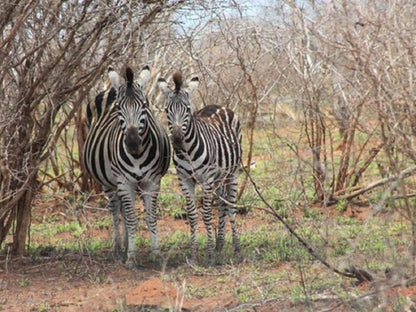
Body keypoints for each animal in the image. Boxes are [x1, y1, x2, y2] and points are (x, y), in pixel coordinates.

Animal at [83, 66, 171, 268]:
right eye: (118, 108)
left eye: (145, 105)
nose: (132, 144)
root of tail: (111, 89)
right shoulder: (123, 181)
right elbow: (131, 218)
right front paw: (131, 256)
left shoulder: (152, 181)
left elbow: (150, 216)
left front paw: (156, 253)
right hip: (109, 181)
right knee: (115, 208)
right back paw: (117, 248)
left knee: (122, 207)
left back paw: (124, 245)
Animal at [158, 73, 242, 266]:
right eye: (167, 110)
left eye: (187, 109)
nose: (177, 138)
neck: (187, 151)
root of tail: (219, 106)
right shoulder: (184, 179)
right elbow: (192, 215)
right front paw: (194, 255)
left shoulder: (206, 179)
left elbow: (207, 214)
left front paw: (210, 257)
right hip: (218, 178)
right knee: (222, 204)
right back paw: (220, 244)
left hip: (231, 174)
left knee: (230, 206)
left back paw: (236, 248)